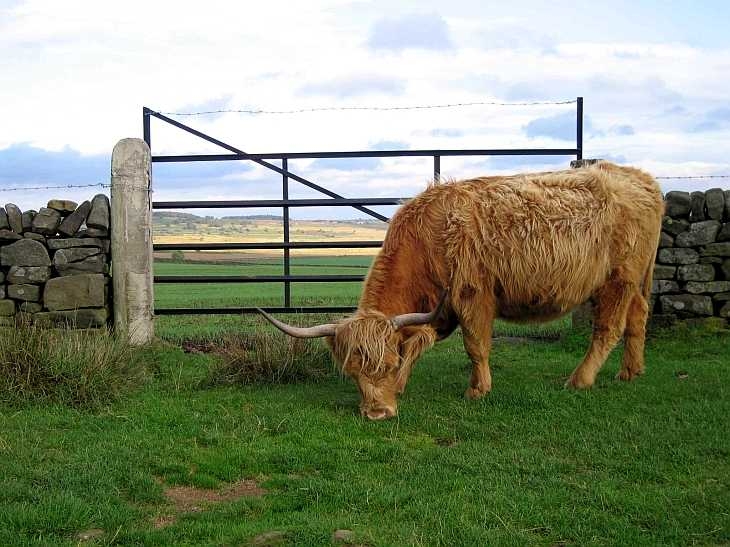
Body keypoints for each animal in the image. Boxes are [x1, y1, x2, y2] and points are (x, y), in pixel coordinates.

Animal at [258, 161, 664, 420]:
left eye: (386, 365)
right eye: (353, 374)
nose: (377, 414)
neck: (426, 240)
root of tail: (640, 177)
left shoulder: (472, 295)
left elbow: (475, 346)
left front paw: (477, 389)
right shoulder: (440, 309)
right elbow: (418, 342)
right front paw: (404, 385)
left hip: (617, 280)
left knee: (608, 329)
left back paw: (580, 380)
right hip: (634, 281)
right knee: (638, 317)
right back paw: (631, 371)